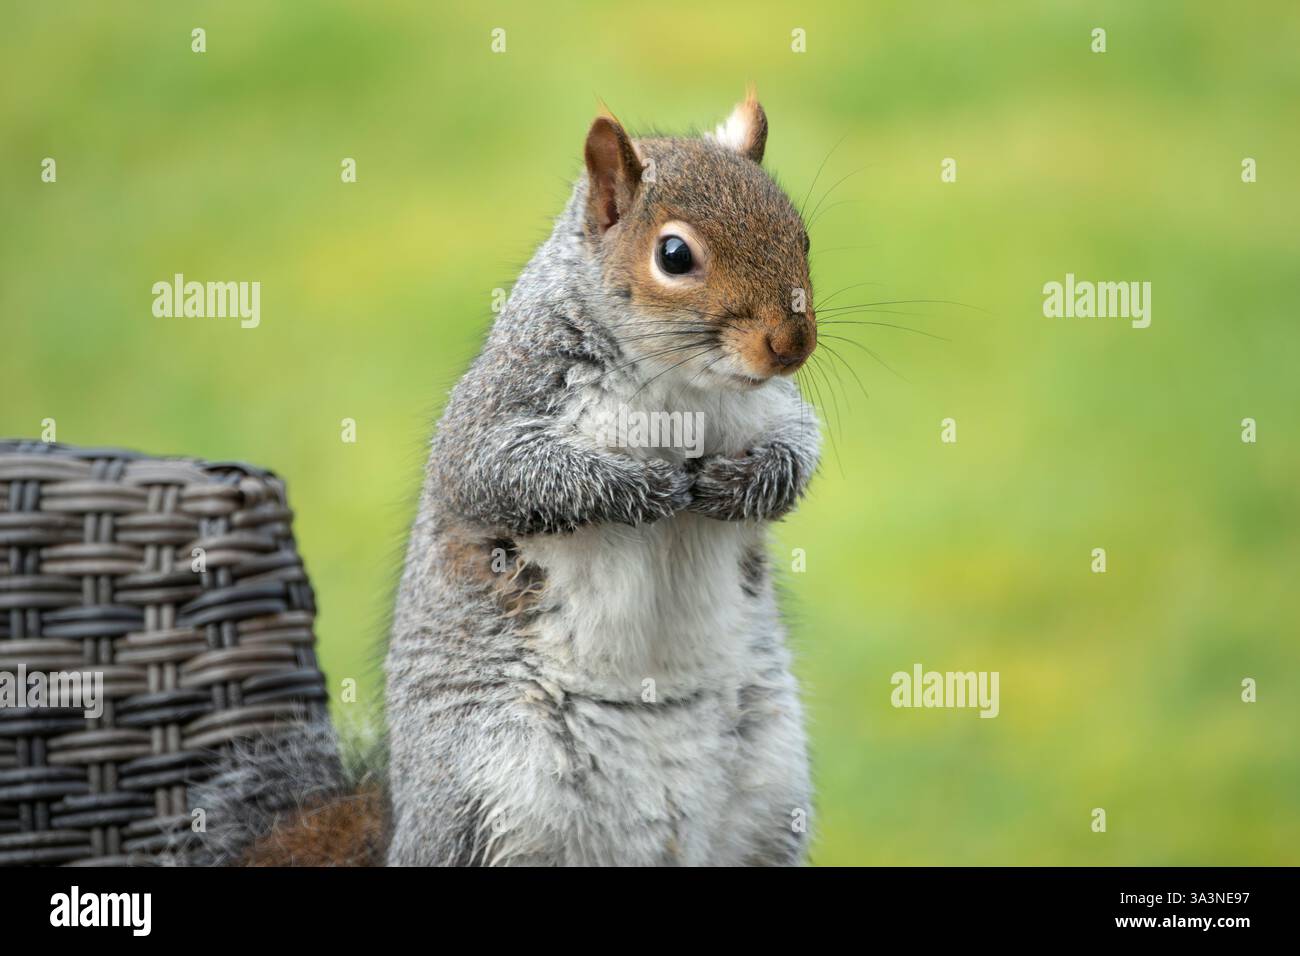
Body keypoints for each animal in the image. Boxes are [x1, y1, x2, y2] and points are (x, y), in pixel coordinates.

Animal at [188, 90, 822, 867]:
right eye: (675, 255)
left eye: (801, 235)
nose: (792, 345)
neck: (682, 384)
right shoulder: (505, 404)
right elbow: (504, 475)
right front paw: (643, 489)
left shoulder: (774, 405)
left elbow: (801, 449)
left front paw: (748, 483)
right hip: (488, 786)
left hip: (770, 791)